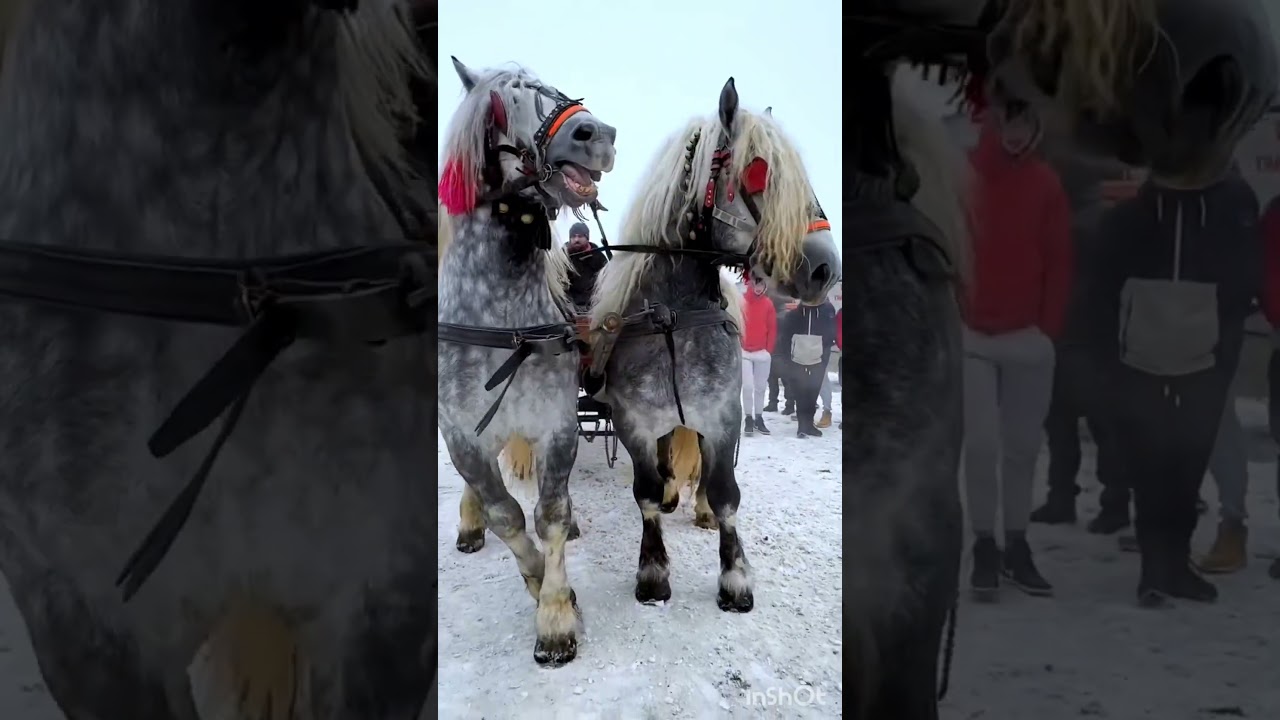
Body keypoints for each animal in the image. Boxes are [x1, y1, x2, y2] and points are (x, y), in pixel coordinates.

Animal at [436, 58, 617, 667]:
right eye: (504, 102)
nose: (596, 134)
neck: (502, 322)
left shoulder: (556, 425)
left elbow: (550, 514)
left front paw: (556, 616)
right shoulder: (460, 435)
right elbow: (507, 517)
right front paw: (538, 583)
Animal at [587, 79, 840, 613]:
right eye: (759, 172)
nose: (827, 268)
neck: (673, 319)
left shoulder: (724, 417)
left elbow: (726, 493)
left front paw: (735, 579)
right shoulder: (634, 423)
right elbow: (645, 492)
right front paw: (653, 571)